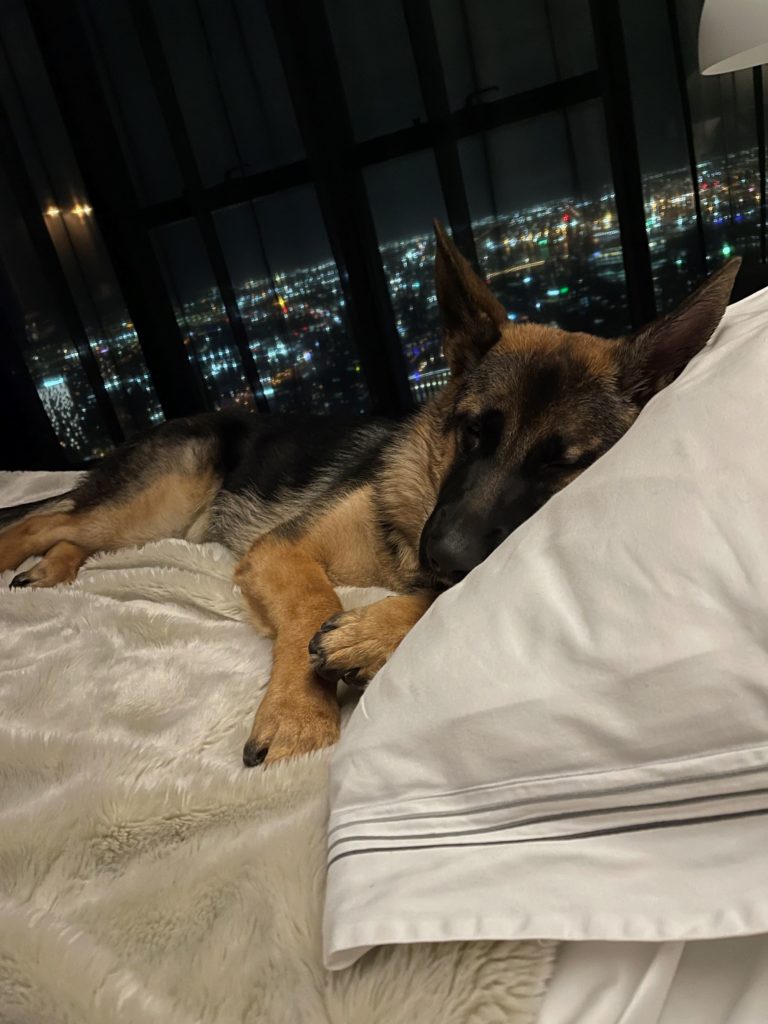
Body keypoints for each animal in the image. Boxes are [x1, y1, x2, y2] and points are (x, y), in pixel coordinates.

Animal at [1, 226, 745, 770]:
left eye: (561, 465)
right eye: (474, 432)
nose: (439, 553)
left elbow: (440, 596)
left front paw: (376, 629)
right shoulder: (282, 550)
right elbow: (314, 600)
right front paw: (300, 714)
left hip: (150, 526)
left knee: (67, 528)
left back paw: (53, 571)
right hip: (157, 501)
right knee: (43, 519)